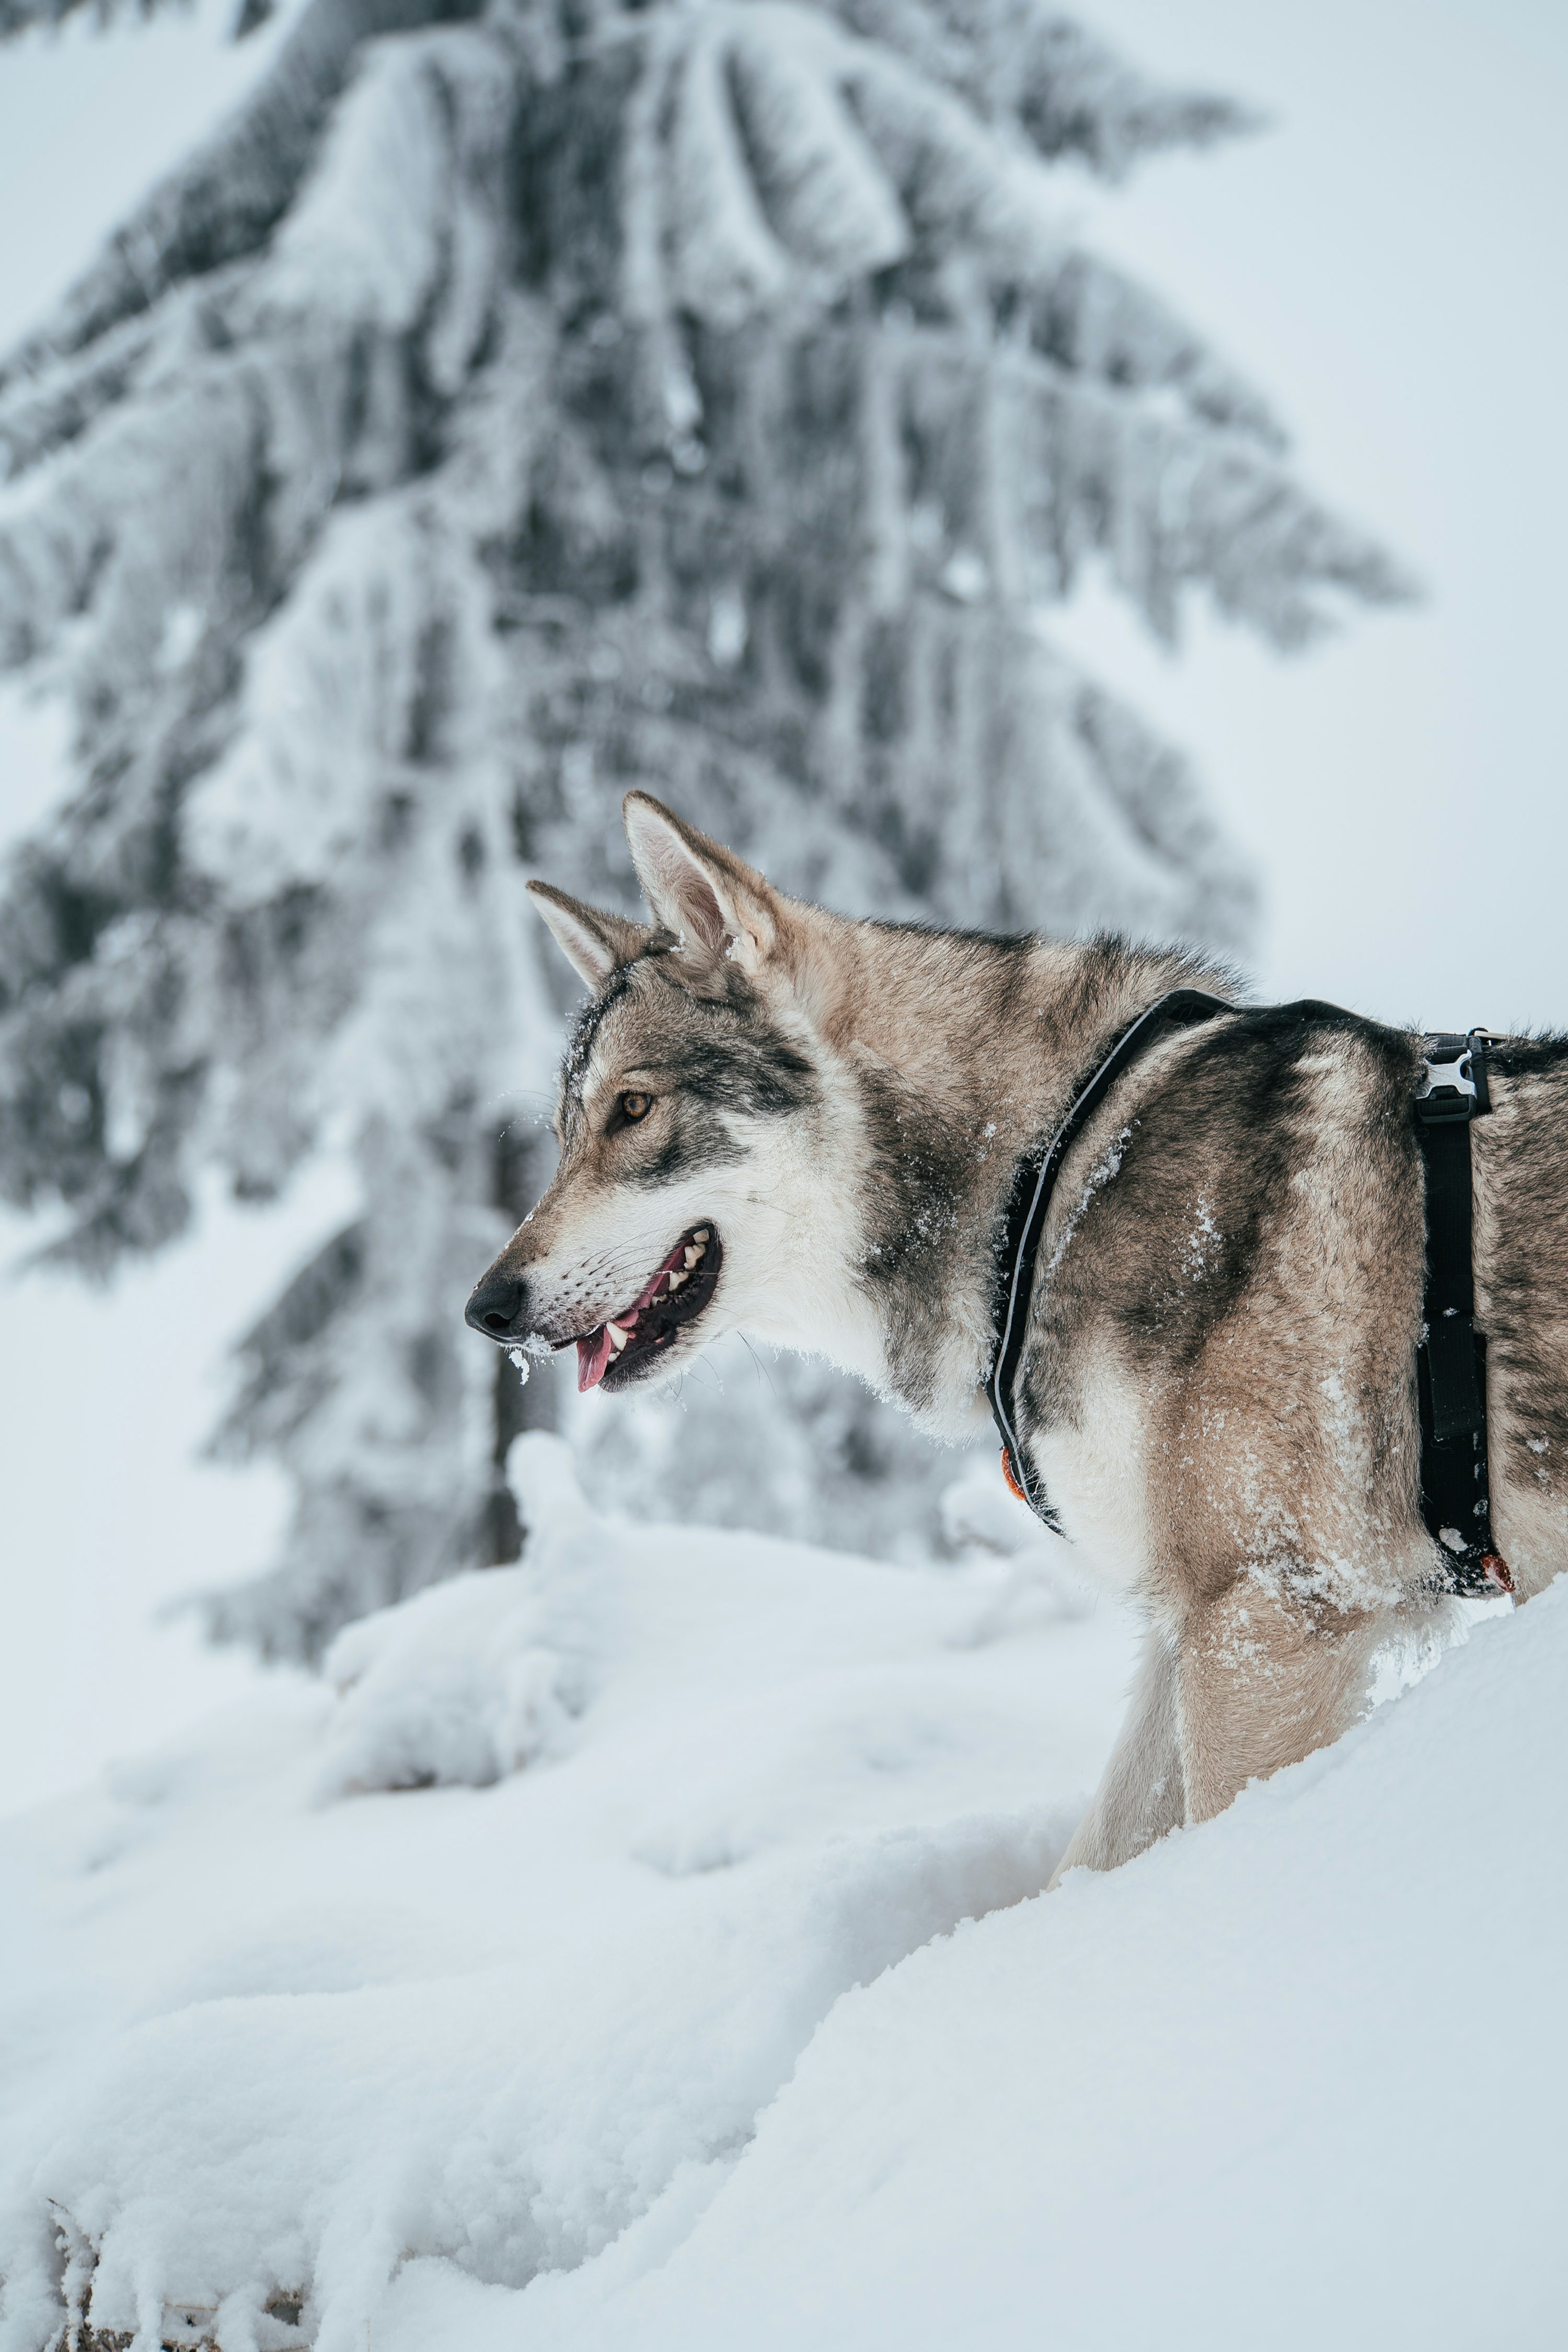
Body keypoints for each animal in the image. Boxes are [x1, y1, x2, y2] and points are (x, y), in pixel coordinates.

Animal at [466, 792, 1568, 1877]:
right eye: (563, 1136)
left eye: (634, 1109)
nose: (486, 1309)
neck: (1046, 1178)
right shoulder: (1189, 1630)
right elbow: (1086, 1866)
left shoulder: (1269, 1617)